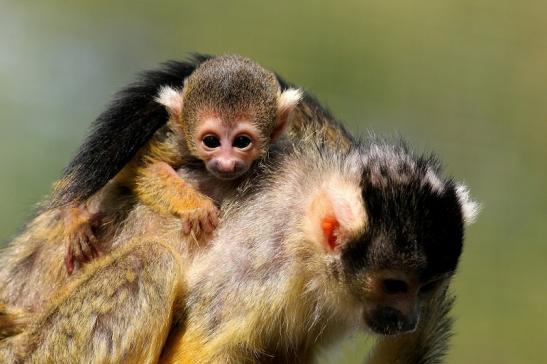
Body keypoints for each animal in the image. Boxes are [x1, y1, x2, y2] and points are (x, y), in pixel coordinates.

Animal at [50, 55, 304, 272]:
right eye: (211, 141)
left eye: (242, 142)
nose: (226, 163)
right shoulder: (178, 141)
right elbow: (149, 170)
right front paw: (195, 207)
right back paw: (73, 212)